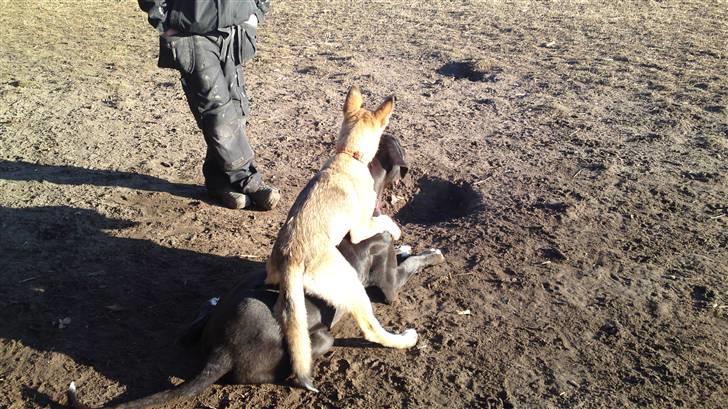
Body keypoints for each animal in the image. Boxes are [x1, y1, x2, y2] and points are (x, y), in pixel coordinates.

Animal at [266, 85, 416, 388]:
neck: (349, 155)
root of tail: (290, 259)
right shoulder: (360, 228)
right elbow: (385, 219)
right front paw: (396, 230)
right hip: (352, 285)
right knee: (372, 330)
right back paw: (405, 339)